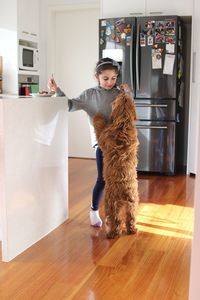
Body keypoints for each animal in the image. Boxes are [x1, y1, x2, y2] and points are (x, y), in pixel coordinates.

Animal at [93, 92, 139, 238]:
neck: (123, 122)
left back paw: (113, 233)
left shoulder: (103, 136)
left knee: (116, 219)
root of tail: (125, 190)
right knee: (131, 218)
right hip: (133, 203)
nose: (123, 91)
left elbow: (99, 125)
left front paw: (98, 115)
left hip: (110, 202)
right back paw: (132, 230)